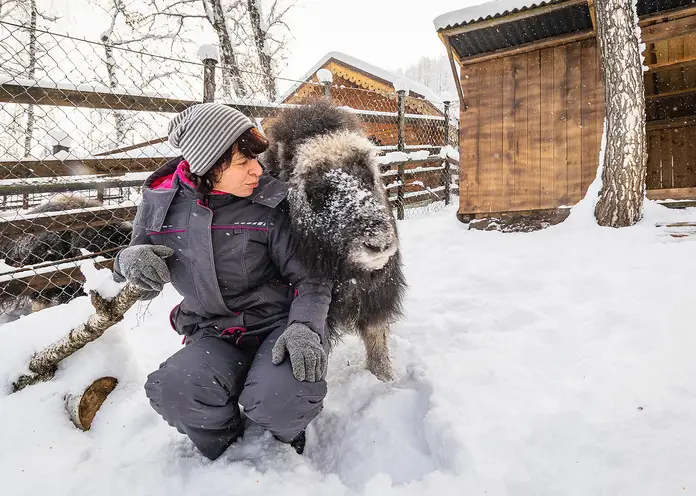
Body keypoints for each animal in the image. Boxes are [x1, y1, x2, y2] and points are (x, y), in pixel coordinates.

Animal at [262, 100, 406, 380]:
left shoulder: (377, 297)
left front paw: (385, 379)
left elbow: (376, 339)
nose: (379, 243)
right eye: (317, 192)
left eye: (368, 177)